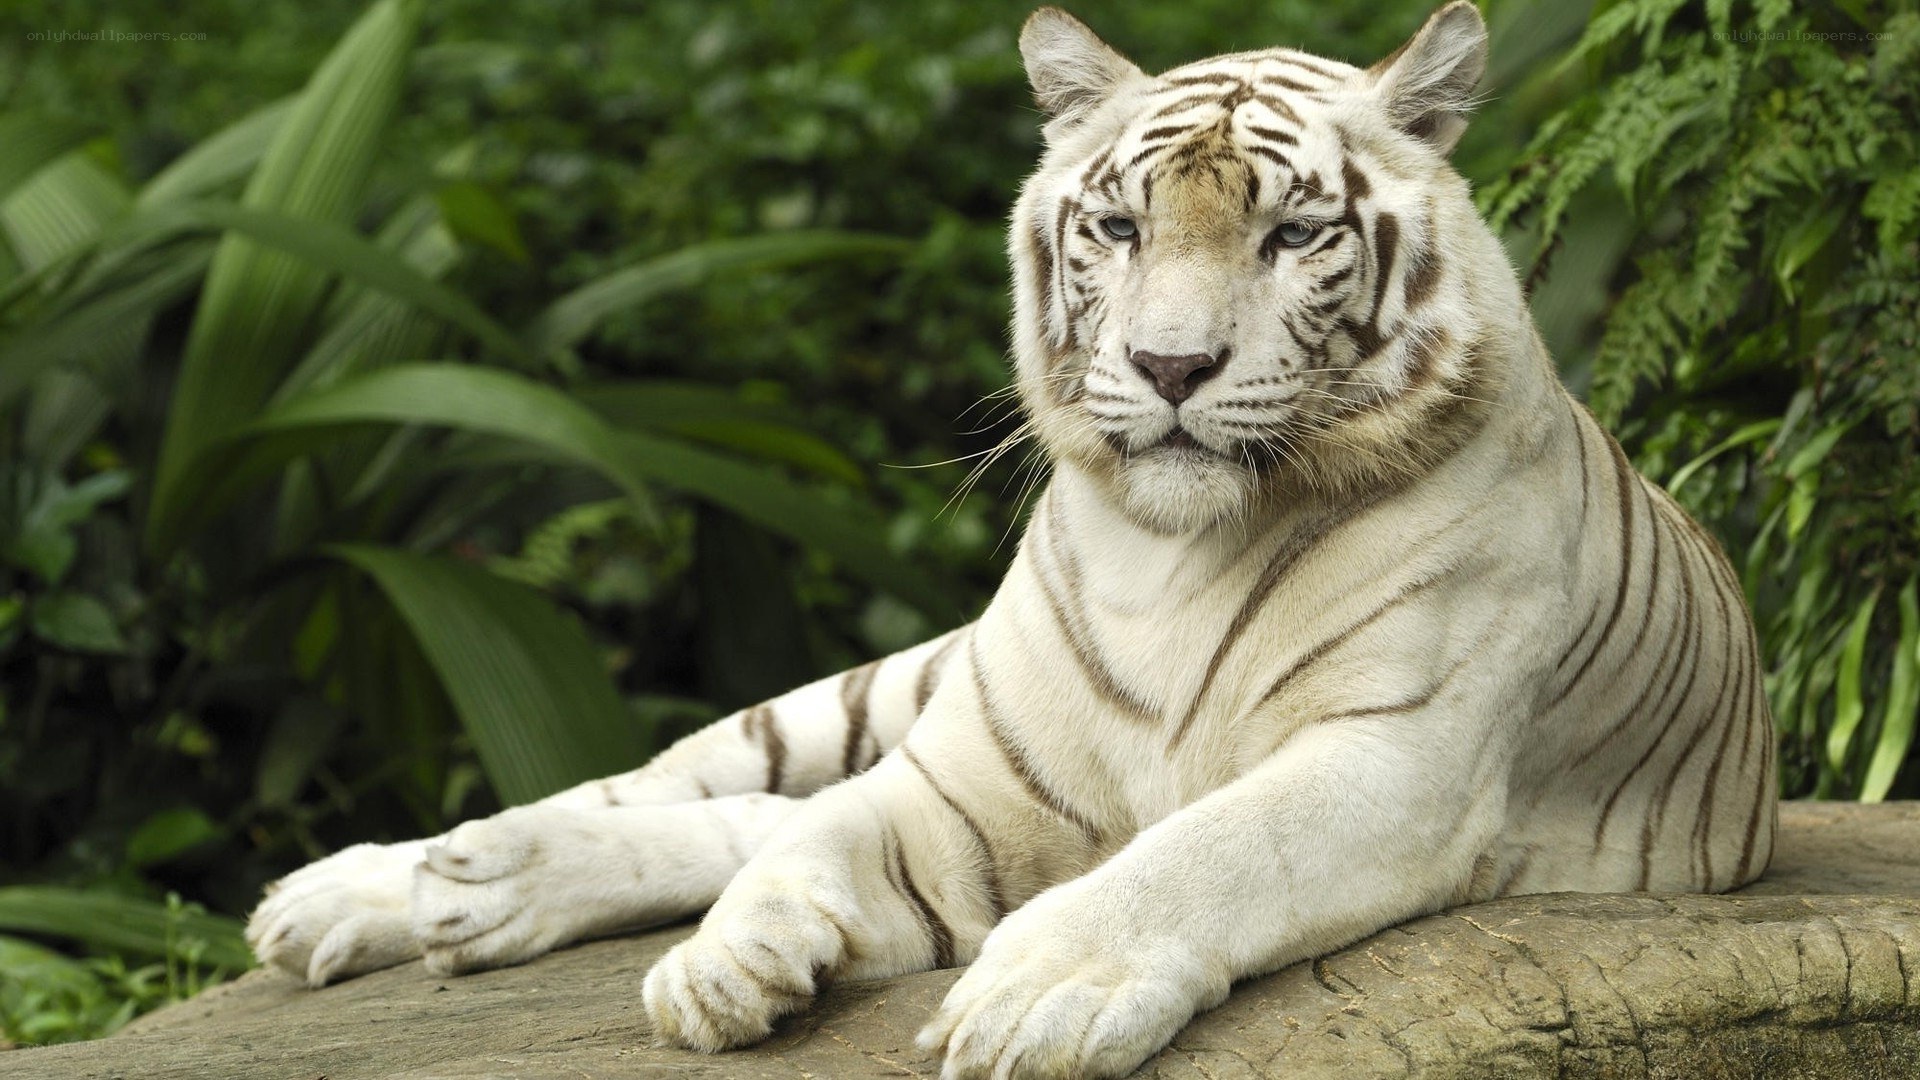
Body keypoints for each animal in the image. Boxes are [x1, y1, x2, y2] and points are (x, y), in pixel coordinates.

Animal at [245, 4, 1779, 1077]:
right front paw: (727, 966)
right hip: (884, 691)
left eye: (1291, 237)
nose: (1171, 366)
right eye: (1118, 226)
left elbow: (1205, 853)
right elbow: (816, 838)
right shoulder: (966, 779)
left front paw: (1037, 993)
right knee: (703, 790)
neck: (1173, 555)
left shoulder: (1393, 761)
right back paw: (403, 884)